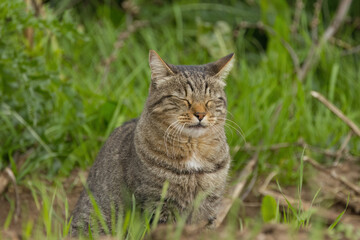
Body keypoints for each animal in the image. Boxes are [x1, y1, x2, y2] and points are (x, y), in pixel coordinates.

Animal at [70, 49, 235, 235]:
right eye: (183, 99)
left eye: (210, 100)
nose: (200, 114)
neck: (193, 149)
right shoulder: (156, 204)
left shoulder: (209, 204)